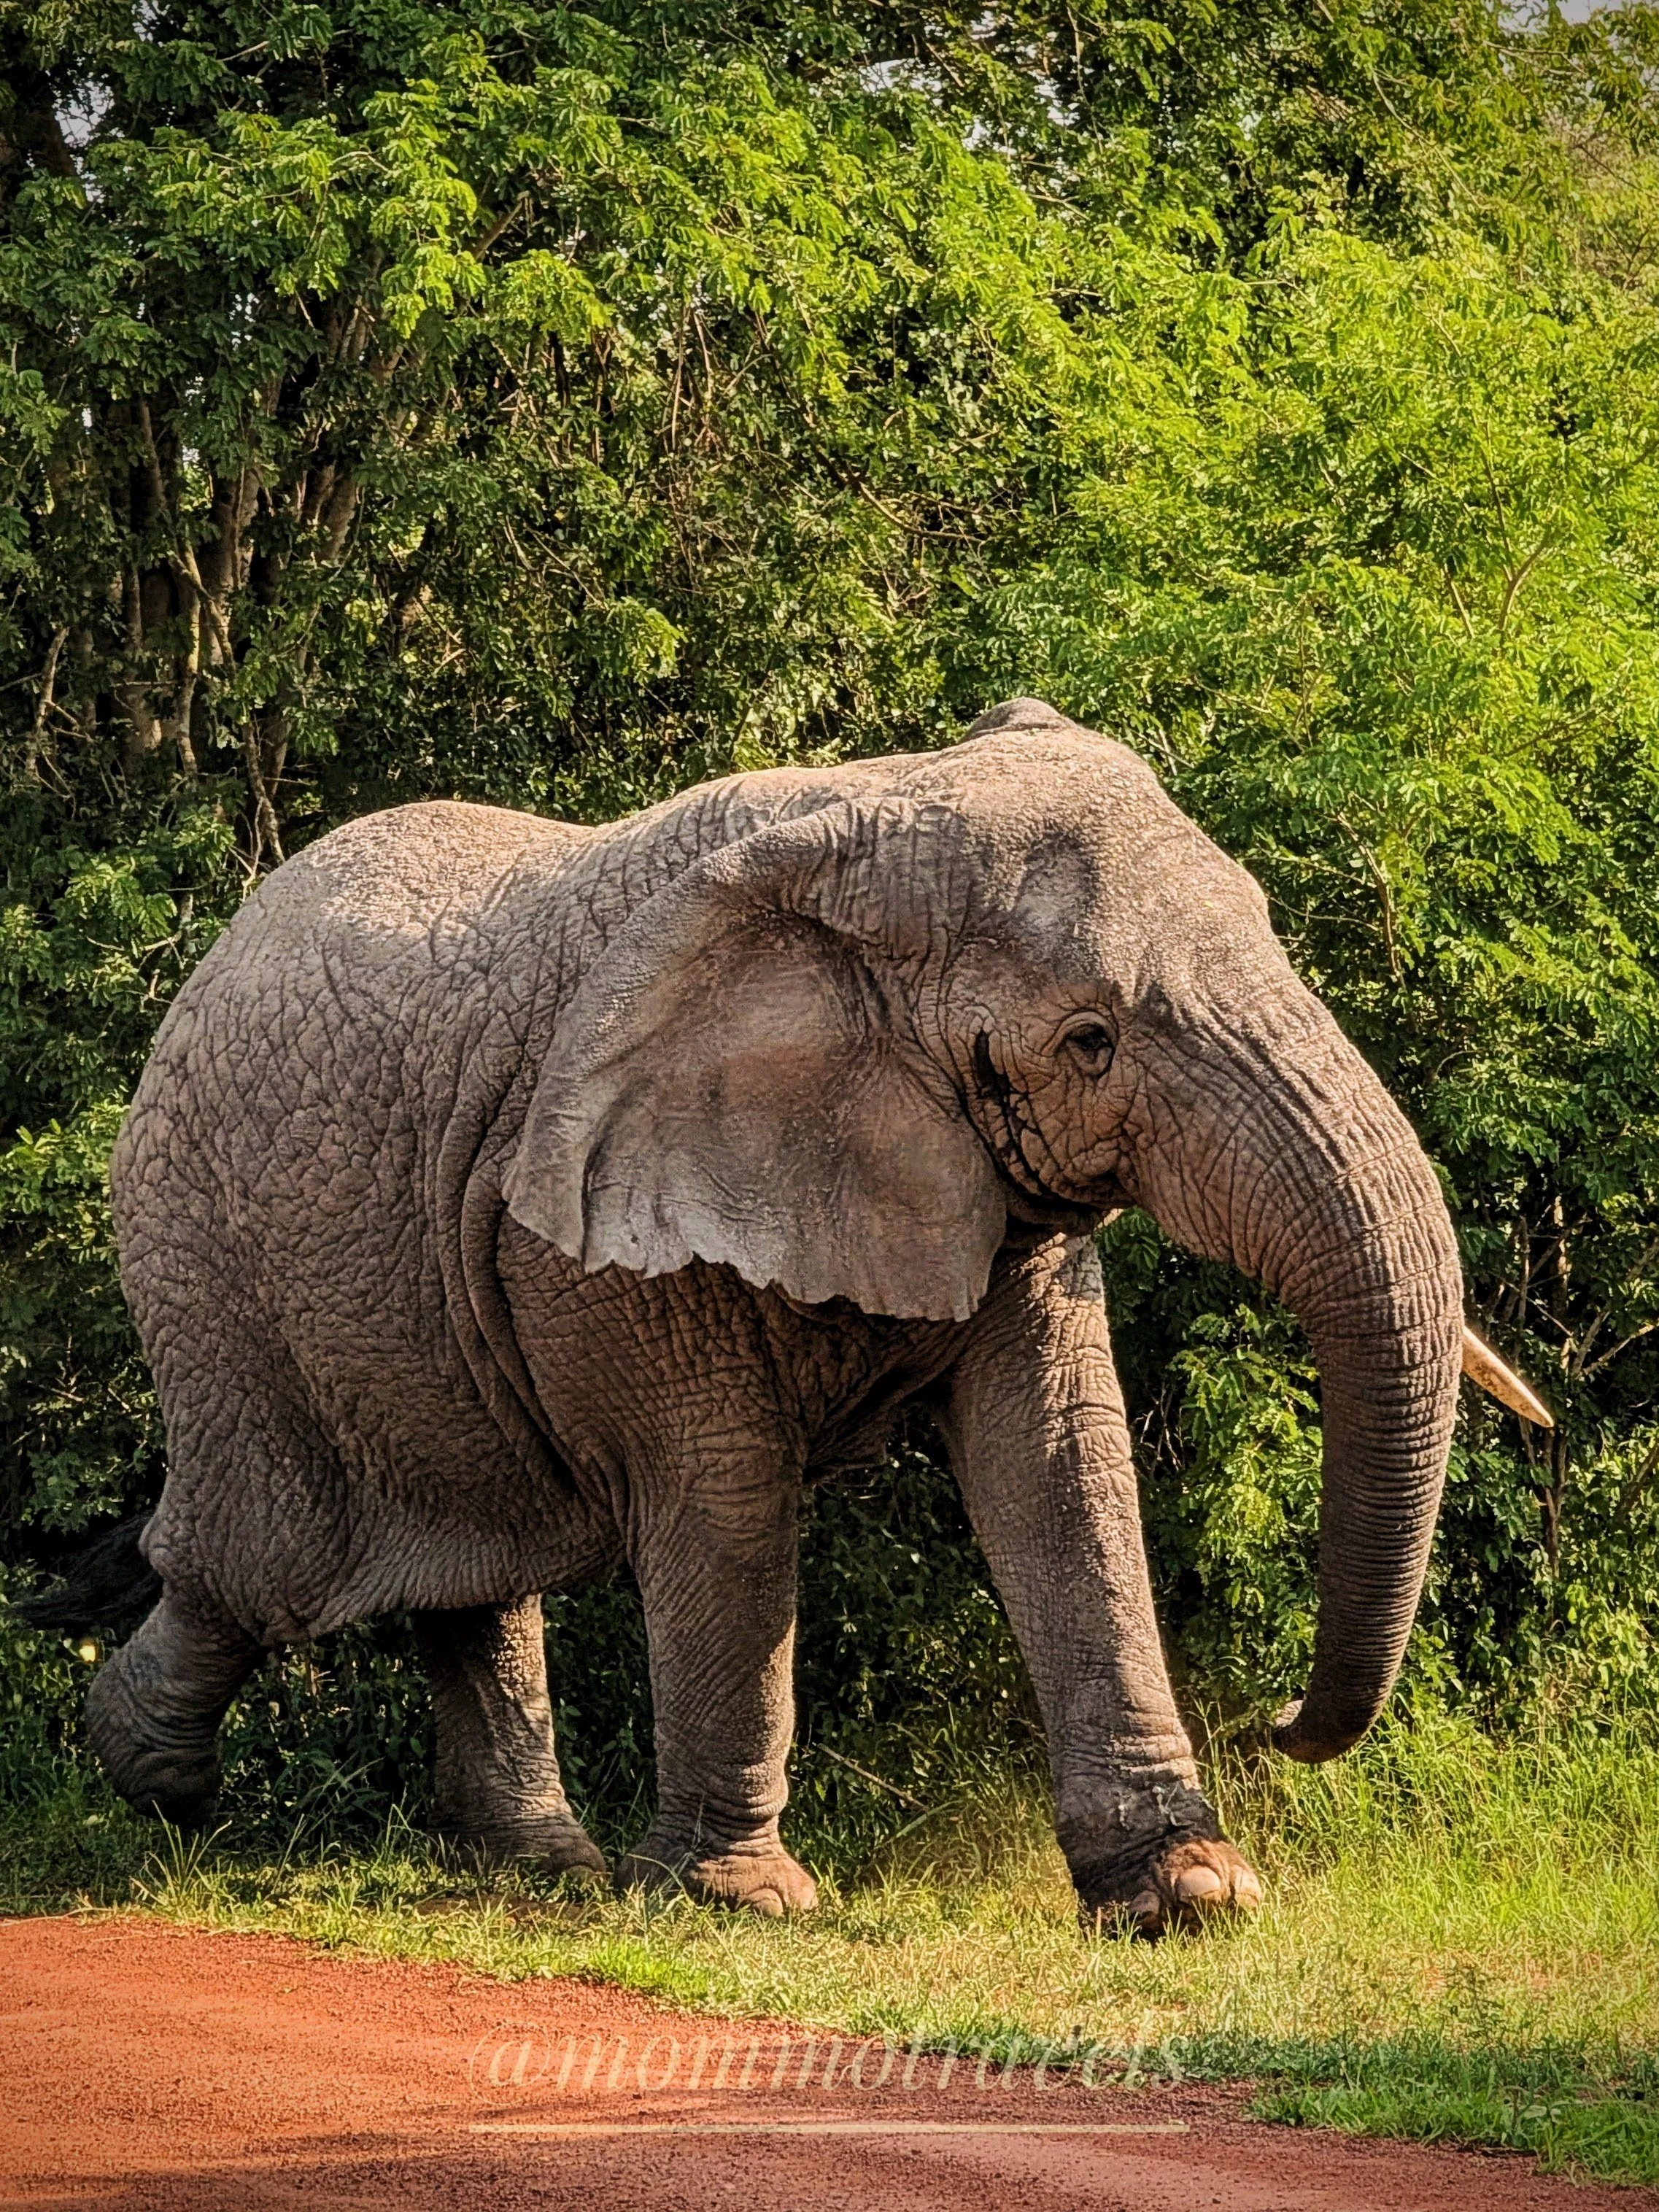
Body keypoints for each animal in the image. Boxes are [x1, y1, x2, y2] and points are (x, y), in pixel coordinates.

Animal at [79, 693, 1494, 1936]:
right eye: (1089, 1040)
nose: (1280, 1727)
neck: (875, 832)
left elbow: (1057, 1460)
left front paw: (1188, 1894)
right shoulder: (604, 1224)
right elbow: (724, 1487)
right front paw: (738, 1902)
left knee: (470, 1565)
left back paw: (538, 1868)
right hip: (201, 1262)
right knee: (253, 1568)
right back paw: (145, 1782)